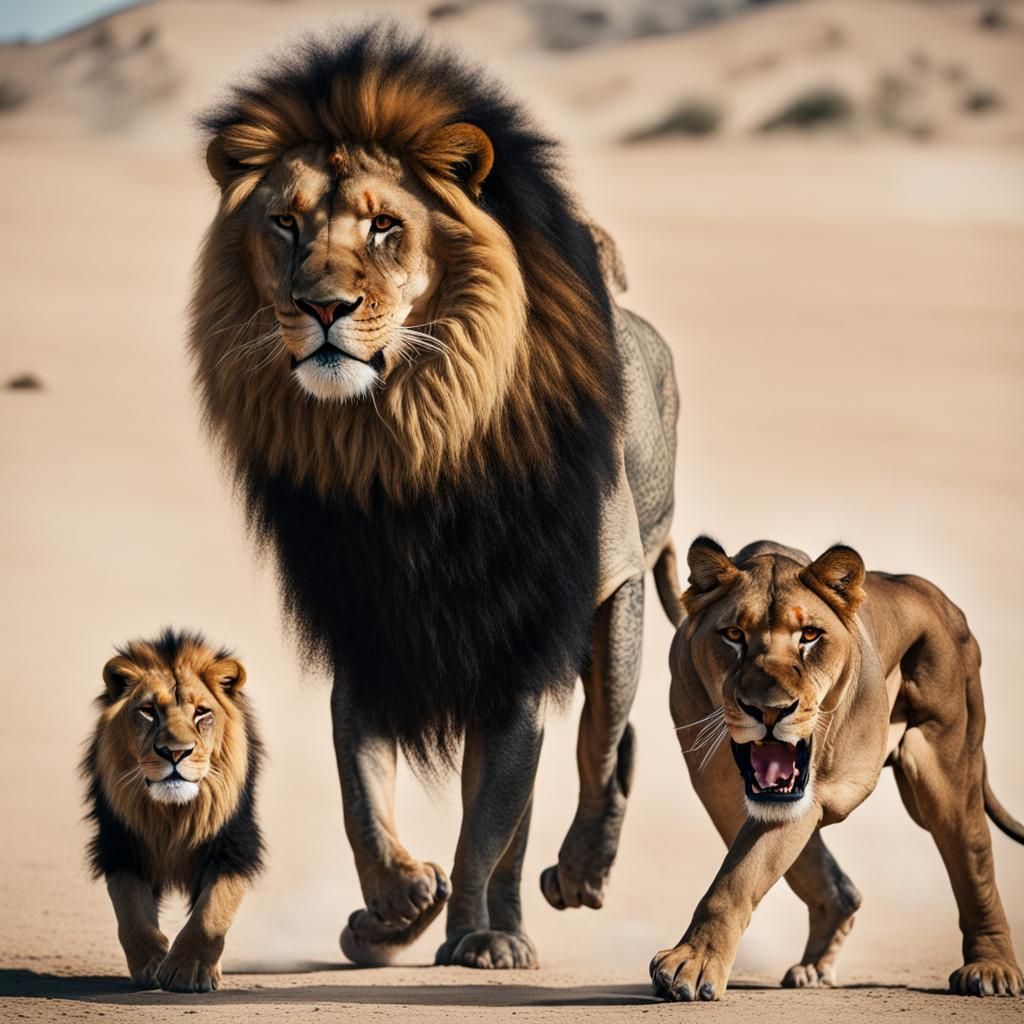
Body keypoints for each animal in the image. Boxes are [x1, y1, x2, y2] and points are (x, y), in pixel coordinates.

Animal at [82, 630, 263, 992]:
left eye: (202, 713)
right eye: (148, 711)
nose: (175, 753)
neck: (174, 815)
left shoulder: (234, 845)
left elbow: (212, 909)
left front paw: (188, 970)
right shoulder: (120, 845)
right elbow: (131, 912)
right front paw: (152, 964)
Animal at [190, 26, 680, 969]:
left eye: (386, 226)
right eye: (284, 223)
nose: (323, 306)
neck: (413, 454)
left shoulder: (516, 659)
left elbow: (483, 827)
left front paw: (468, 935)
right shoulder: (372, 636)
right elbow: (363, 795)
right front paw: (393, 908)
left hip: (622, 598)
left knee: (609, 747)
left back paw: (575, 878)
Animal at [651, 537, 1024, 1000]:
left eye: (810, 635)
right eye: (734, 635)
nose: (769, 710)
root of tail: (934, 595)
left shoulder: (798, 797)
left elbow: (736, 878)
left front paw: (693, 961)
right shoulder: (718, 789)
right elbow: (758, 866)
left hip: (944, 770)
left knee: (974, 857)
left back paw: (992, 968)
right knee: (838, 884)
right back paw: (813, 967)